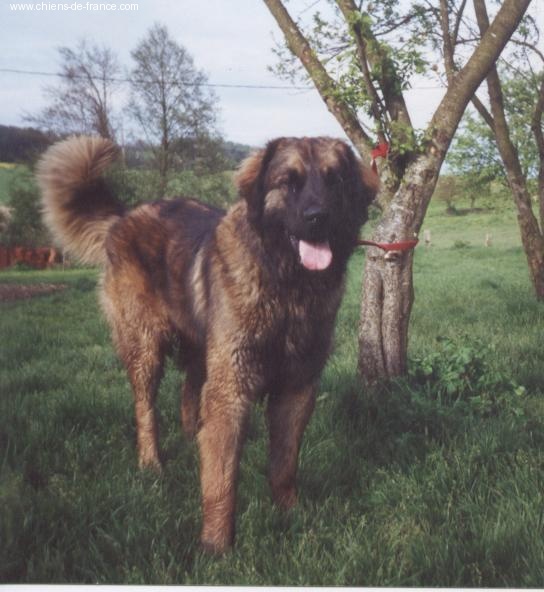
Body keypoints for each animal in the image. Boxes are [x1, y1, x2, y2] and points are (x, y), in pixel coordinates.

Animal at [37, 135, 378, 556]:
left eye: (334, 180)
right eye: (288, 182)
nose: (318, 217)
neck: (288, 287)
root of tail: (124, 217)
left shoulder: (296, 387)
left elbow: (284, 463)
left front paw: (290, 513)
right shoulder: (230, 386)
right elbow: (221, 481)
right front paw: (216, 546)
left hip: (201, 350)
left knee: (189, 394)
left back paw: (190, 441)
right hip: (146, 348)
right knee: (145, 410)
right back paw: (152, 463)